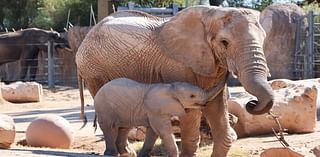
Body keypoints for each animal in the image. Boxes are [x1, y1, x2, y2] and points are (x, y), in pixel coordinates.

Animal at [76, 6, 274, 157]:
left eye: (264, 39)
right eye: (224, 42)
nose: (251, 103)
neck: (210, 13)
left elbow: (217, 107)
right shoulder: (178, 65)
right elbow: (190, 112)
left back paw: (126, 153)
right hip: (94, 71)